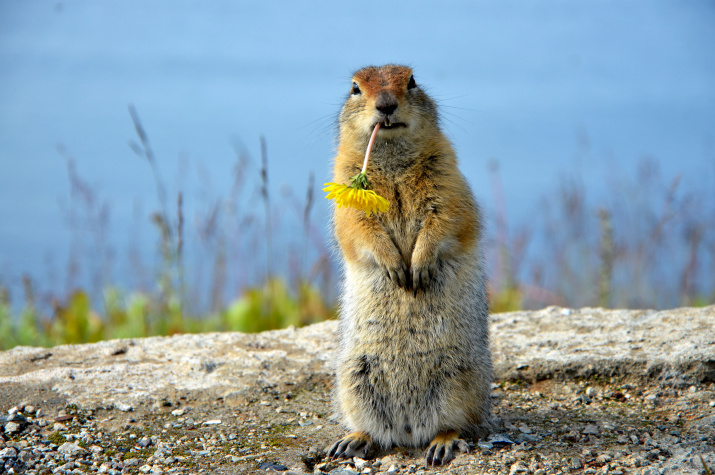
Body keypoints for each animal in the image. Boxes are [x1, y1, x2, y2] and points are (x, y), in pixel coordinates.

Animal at [328, 65, 492, 466]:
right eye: (354, 88)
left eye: (412, 81)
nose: (386, 104)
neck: (392, 161)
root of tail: (407, 431)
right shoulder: (346, 189)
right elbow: (357, 227)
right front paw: (394, 266)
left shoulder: (448, 178)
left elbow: (446, 218)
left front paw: (419, 266)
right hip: (354, 378)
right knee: (372, 428)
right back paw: (353, 440)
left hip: (459, 378)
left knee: (456, 423)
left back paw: (442, 444)